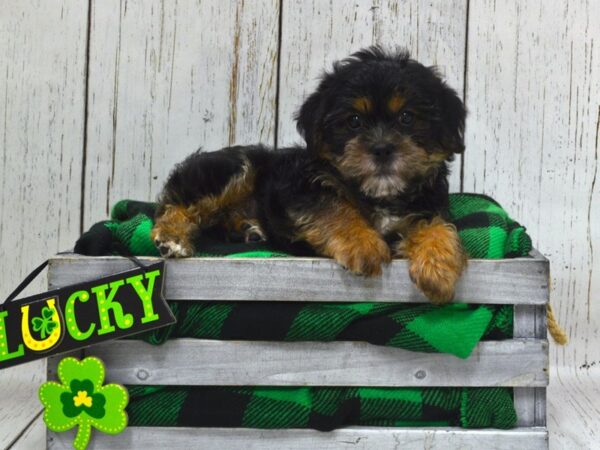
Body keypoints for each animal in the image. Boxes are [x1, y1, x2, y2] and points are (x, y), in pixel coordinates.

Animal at [152, 46, 466, 302]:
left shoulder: (425, 206)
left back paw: (247, 228)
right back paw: (172, 237)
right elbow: (333, 208)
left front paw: (439, 267)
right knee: (178, 203)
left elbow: (438, 225)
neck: (379, 195)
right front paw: (363, 245)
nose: (382, 149)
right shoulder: (301, 189)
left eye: (407, 118)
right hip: (236, 169)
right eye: (354, 121)